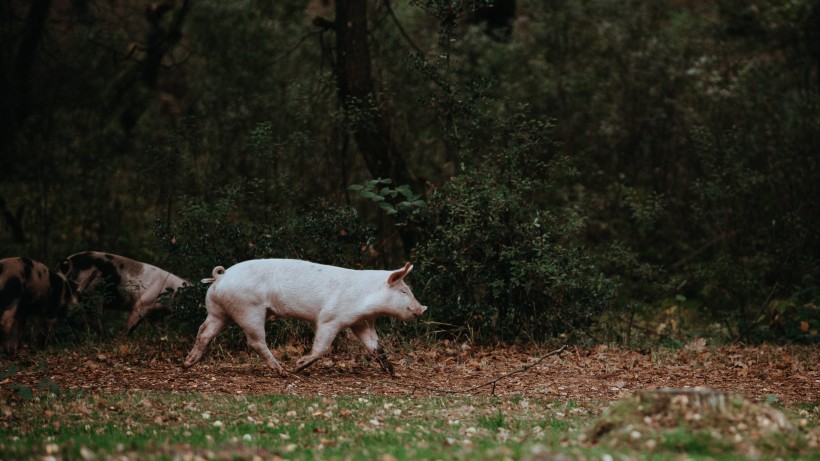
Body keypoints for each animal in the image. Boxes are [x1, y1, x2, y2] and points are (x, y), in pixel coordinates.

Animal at [184, 256, 430, 376]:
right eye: (403, 291)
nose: (423, 308)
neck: (366, 299)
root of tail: (221, 276)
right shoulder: (330, 318)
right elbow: (322, 346)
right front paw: (298, 365)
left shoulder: (361, 323)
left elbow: (375, 347)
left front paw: (393, 373)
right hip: (249, 309)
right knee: (255, 341)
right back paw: (284, 372)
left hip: (218, 311)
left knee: (203, 331)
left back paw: (188, 363)